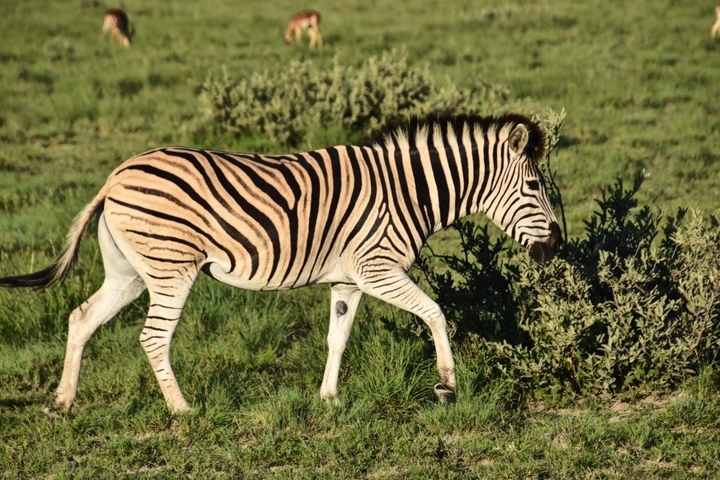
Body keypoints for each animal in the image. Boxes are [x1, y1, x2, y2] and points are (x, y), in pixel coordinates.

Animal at [0, 114, 561, 413]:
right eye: (535, 186)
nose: (556, 247)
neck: (409, 192)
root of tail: (115, 176)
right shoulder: (378, 268)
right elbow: (437, 313)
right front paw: (447, 383)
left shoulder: (348, 280)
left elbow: (337, 338)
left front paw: (329, 399)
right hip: (170, 268)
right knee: (153, 338)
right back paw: (183, 410)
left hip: (129, 272)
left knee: (80, 318)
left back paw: (63, 401)